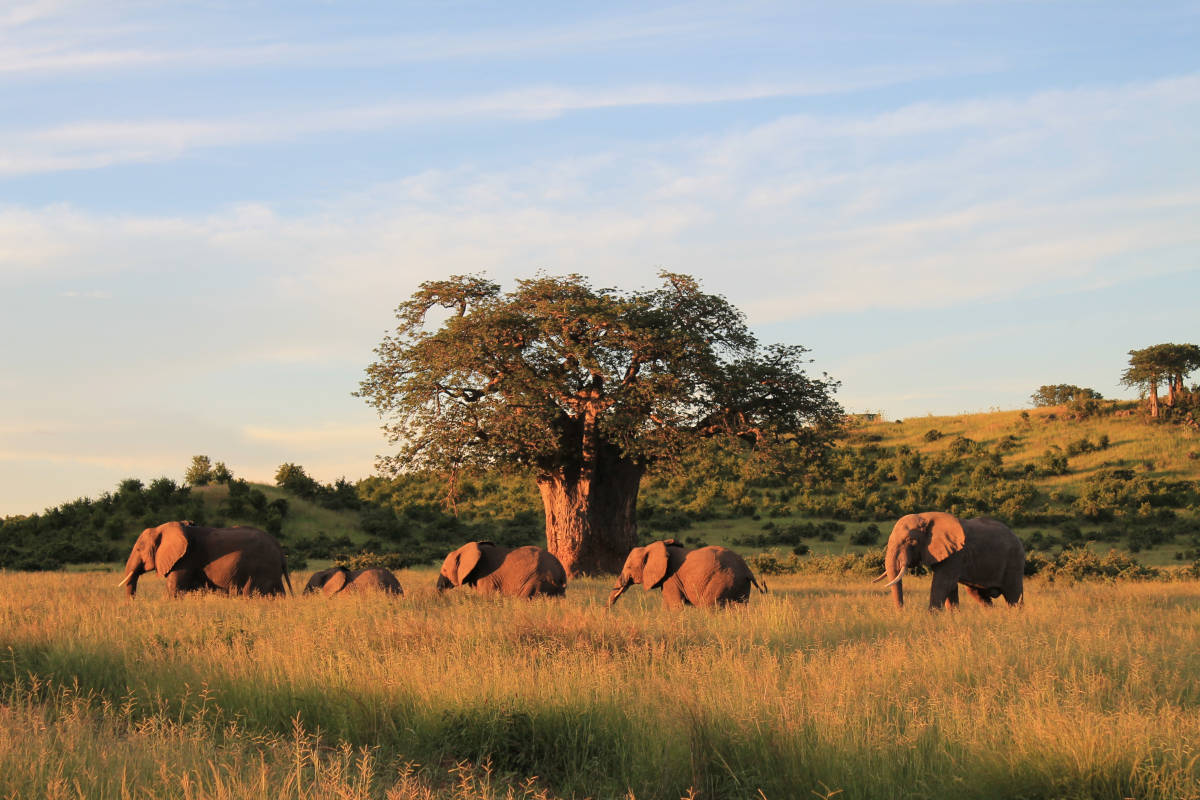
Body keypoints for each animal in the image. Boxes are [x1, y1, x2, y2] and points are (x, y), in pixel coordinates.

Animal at [116, 522, 292, 597]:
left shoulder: (185, 559)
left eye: (138, 549)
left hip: (261, 568)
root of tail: (280, 551)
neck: (161, 528)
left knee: (251, 593)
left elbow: (174, 588)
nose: (132, 605)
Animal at [604, 542, 763, 609]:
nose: (607, 610)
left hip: (722, 580)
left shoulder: (671, 577)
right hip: (740, 585)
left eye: (629, 567)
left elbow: (675, 604)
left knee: (710, 606)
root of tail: (747, 570)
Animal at [878, 510, 1027, 609]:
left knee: (1013, 595)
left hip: (1014, 560)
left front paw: (932, 617)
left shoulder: (956, 554)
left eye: (911, 541)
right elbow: (950, 586)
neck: (926, 516)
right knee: (977, 594)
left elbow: (943, 583)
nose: (902, 612)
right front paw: (953, 617)